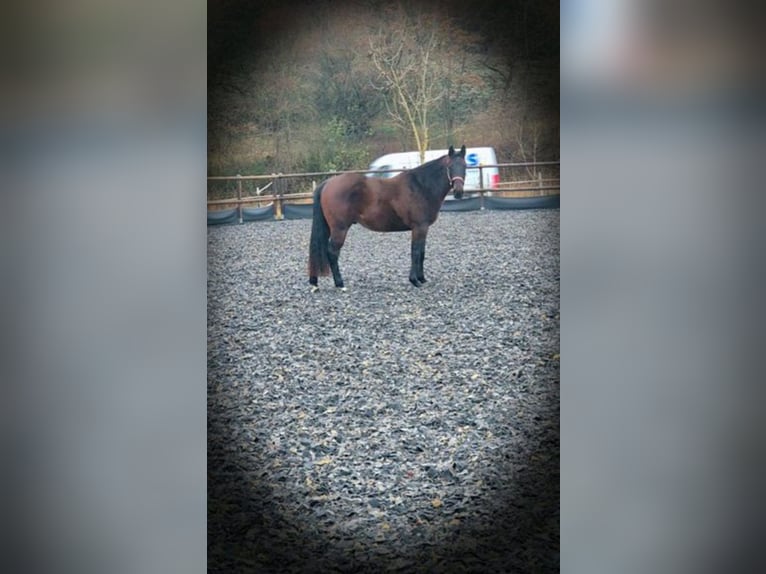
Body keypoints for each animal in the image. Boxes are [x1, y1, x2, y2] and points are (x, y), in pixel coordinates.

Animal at [308, 145, 467, 291]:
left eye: (465, 166)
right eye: (450, 166)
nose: (458, 192)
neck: (420, 186)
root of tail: (328, 183)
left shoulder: (424, 228)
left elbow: (422, 252)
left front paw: (422, 278)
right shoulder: (419, 227)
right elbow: (415, 252)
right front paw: (414, 280)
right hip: (340, 229)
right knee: (332, 252)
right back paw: (340, 284)